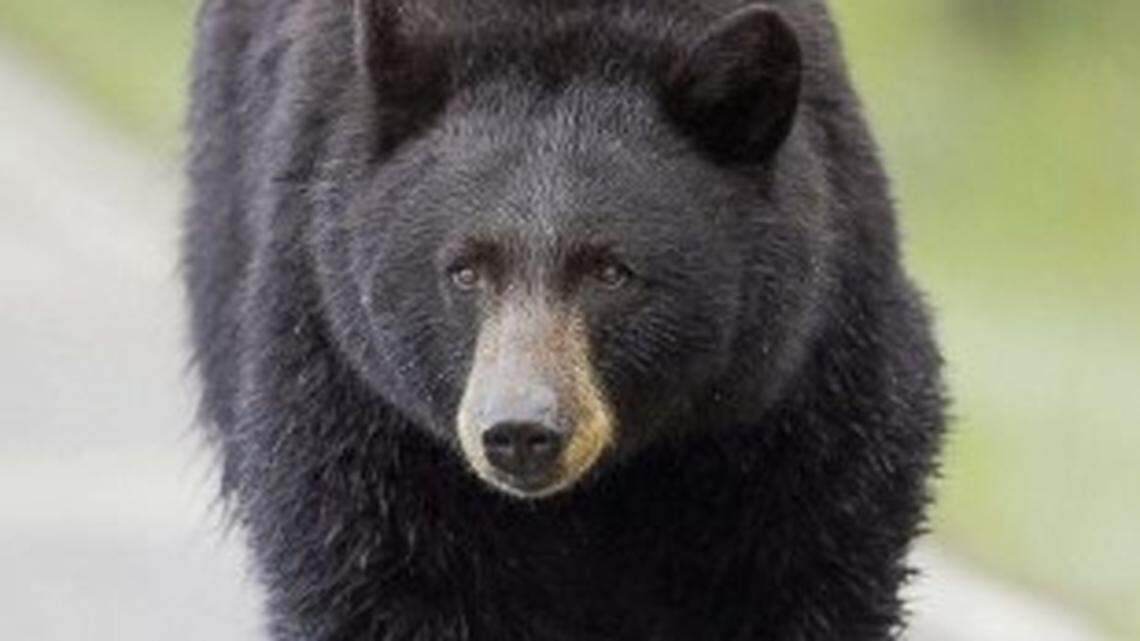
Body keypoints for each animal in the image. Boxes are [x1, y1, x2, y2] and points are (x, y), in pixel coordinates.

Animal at [184, 0, 945, 640]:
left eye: (612, 271)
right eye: (464, 270)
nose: (520, 432)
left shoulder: (801, 402)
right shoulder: (356, 407)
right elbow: (377, 585)